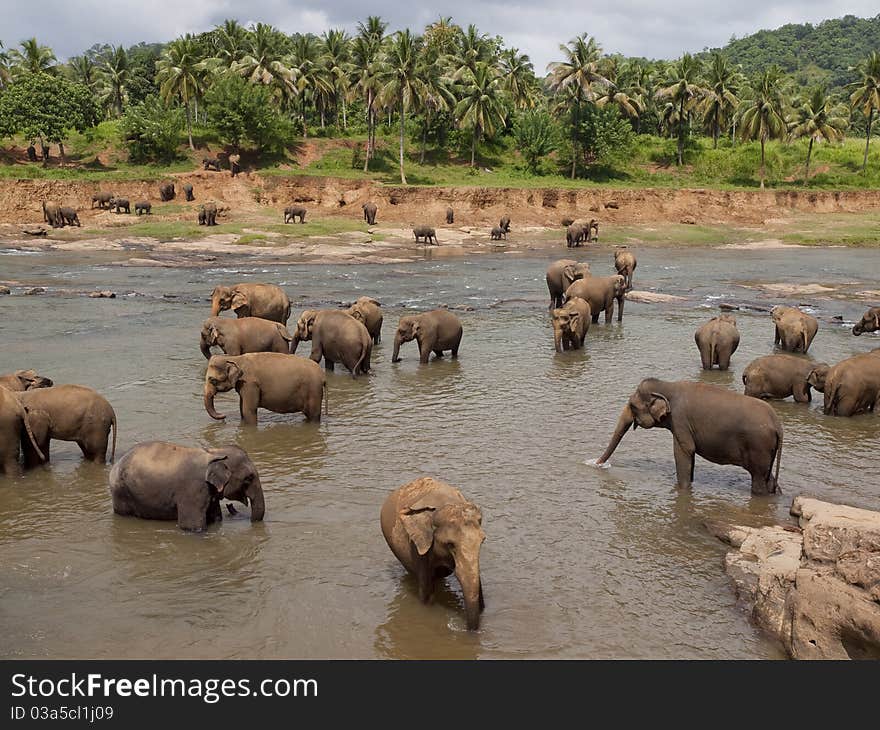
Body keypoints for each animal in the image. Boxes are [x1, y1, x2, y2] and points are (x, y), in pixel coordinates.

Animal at [109, 438, 264, 528]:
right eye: (249, 478)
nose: (230, 506)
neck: (213, 452)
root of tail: (115, 465)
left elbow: (215, 517)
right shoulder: (193, 489)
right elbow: (191, 526)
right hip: (121, 491)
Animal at [600, 376, 784, 494]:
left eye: (632, 405)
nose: (598, 464)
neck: (668, 386)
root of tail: (777, 424)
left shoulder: (680, 420)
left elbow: (684, 452)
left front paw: (682, 489)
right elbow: (690, 456)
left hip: (758, 446)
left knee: (758, 477)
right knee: (768, 478)